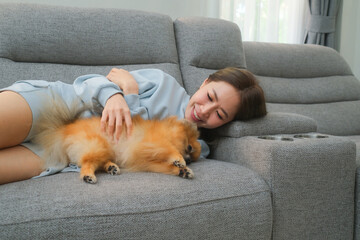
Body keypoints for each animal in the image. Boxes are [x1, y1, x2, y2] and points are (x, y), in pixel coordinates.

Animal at [32, 96, 201, 184]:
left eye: (193, 158)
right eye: (189, 148)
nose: (189, 160)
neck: (168, 132)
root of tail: (66, 127)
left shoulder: (149, 162)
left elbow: (166, 167)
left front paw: (183, 171)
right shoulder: (153, 142)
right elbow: (169, 149)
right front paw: (179, 161)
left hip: (103, 150)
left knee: (98, 162)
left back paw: (111, 167)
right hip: (98, 145)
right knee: (87, 163)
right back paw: (88, 175)